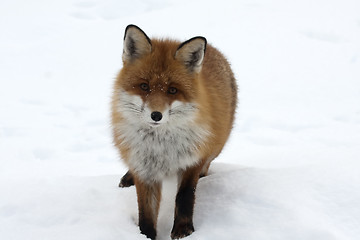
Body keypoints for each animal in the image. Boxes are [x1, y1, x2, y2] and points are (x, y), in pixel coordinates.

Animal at [111, 24, 238, 240]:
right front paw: (146, 235)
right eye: (144, 86)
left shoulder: (192, 160)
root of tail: (213, 49)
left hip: (216, 147)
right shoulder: (145, 170)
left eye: (172, 90)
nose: (156, 115)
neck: (161, 148)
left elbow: (185, 196)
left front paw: (183, 229)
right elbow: (146, 212)